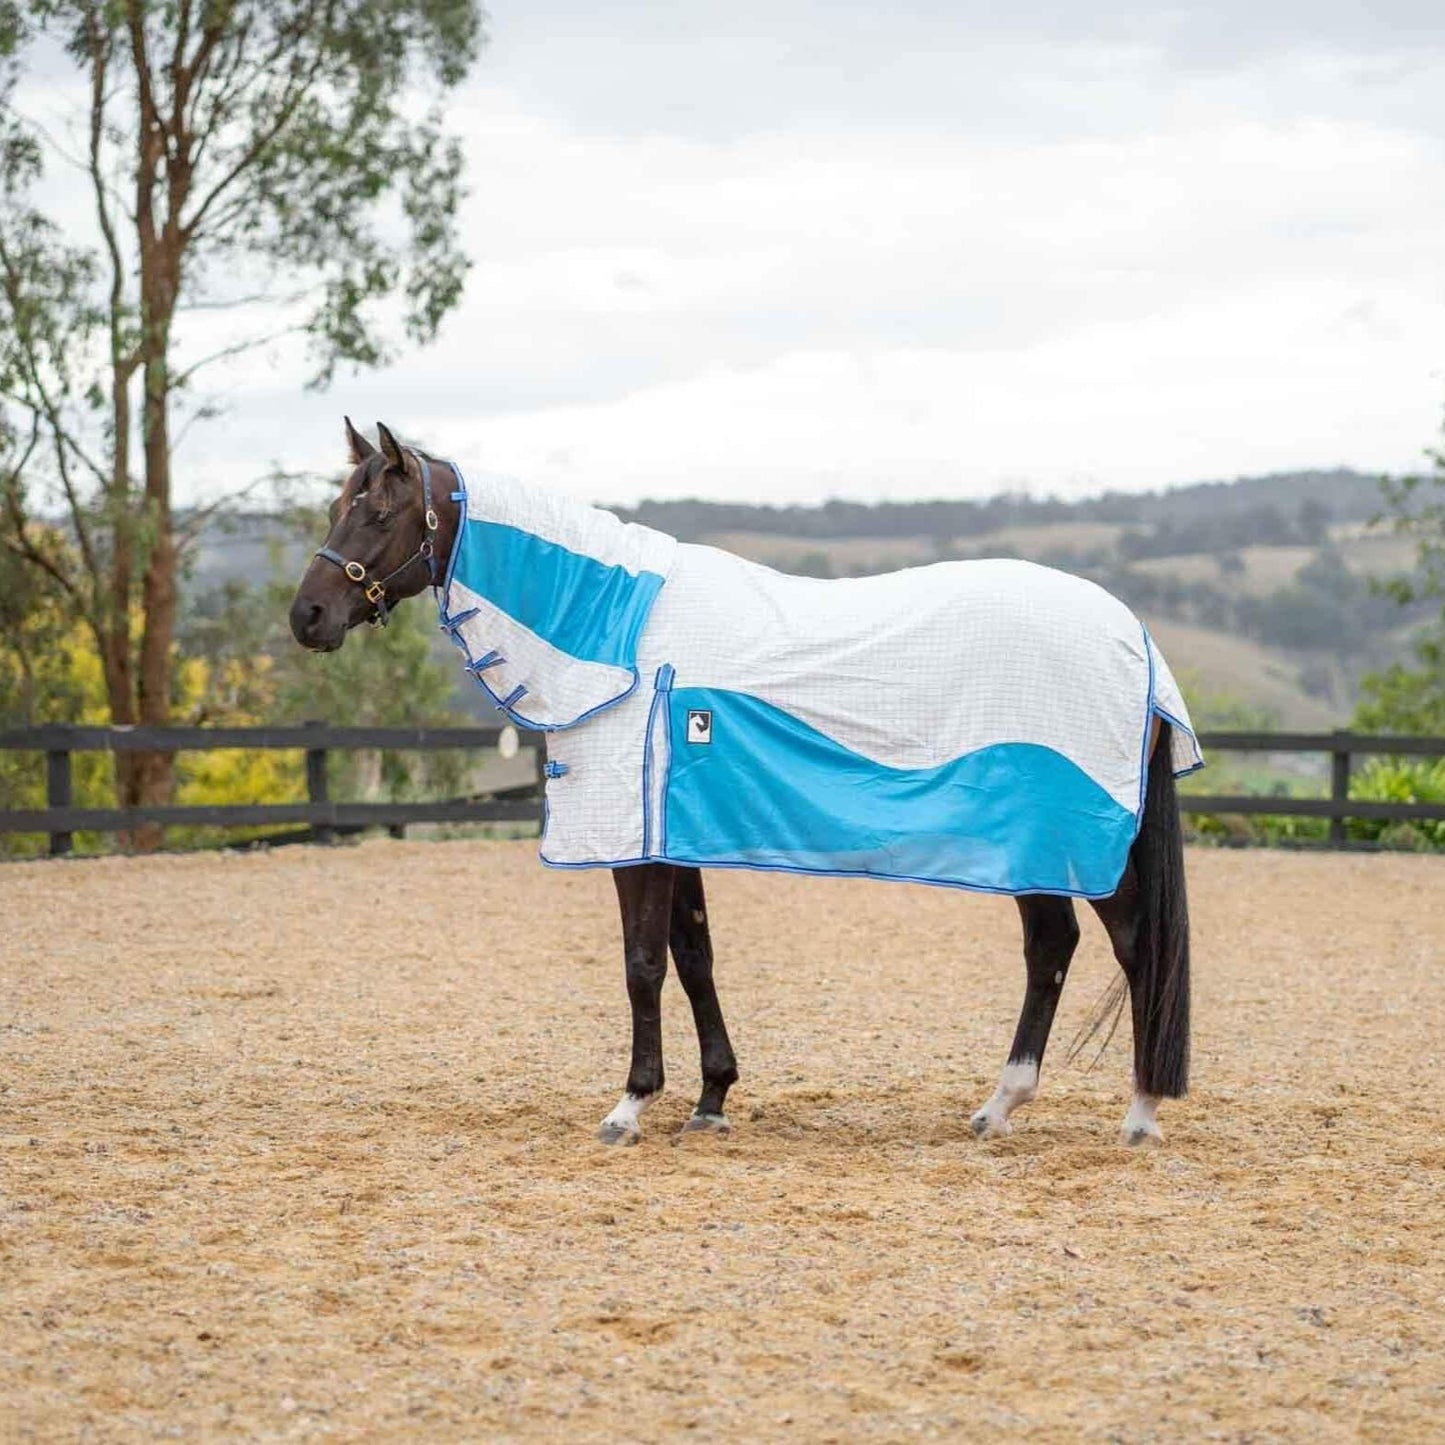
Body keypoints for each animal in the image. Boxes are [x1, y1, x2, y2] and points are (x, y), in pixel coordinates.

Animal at [290, 419, 1198, 1148]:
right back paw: (998, 1106)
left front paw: (629, 1106)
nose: (307, 616)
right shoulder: (673, 833)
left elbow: (642, 965)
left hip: (1080, 842)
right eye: (335, 508)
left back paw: (1139, 1113)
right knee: (1051, 947)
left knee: (1129, 946)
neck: (620, 637)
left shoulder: (637, 845)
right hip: (1031, 846)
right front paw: (710, 1099)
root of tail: (1134, 639)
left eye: (378, 514)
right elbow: (694, 957)